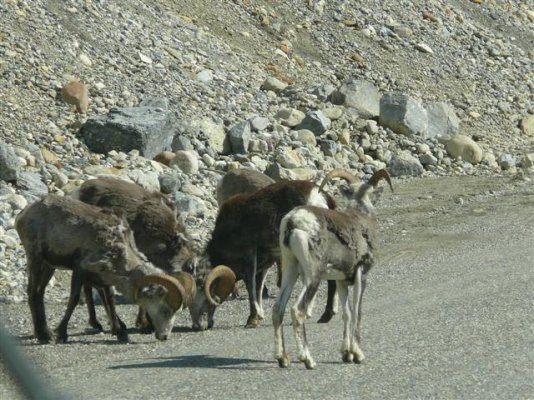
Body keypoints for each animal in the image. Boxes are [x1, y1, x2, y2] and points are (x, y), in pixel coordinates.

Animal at [15, 195, 197, 344]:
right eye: (165, 310)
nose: (164, 336)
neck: (116, 246)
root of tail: (23, 214)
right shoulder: (80, 271)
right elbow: (74, 300)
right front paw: (61, 334)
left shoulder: (104, 278)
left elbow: (109, 299)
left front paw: (120, 333)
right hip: (36, 259)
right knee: (32, 292)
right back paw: (44, 336)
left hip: (49, 266)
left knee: (39, 293)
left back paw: (44, 333)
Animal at [188, 170, 356, 330]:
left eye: (201, 286)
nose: (197, 326)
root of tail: (319, 197)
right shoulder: (266, 261)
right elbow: (258, 286)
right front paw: (259, 317)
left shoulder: (250, 256)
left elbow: (251, 287)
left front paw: (252, 319)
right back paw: (324, 315)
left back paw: (322, 315)